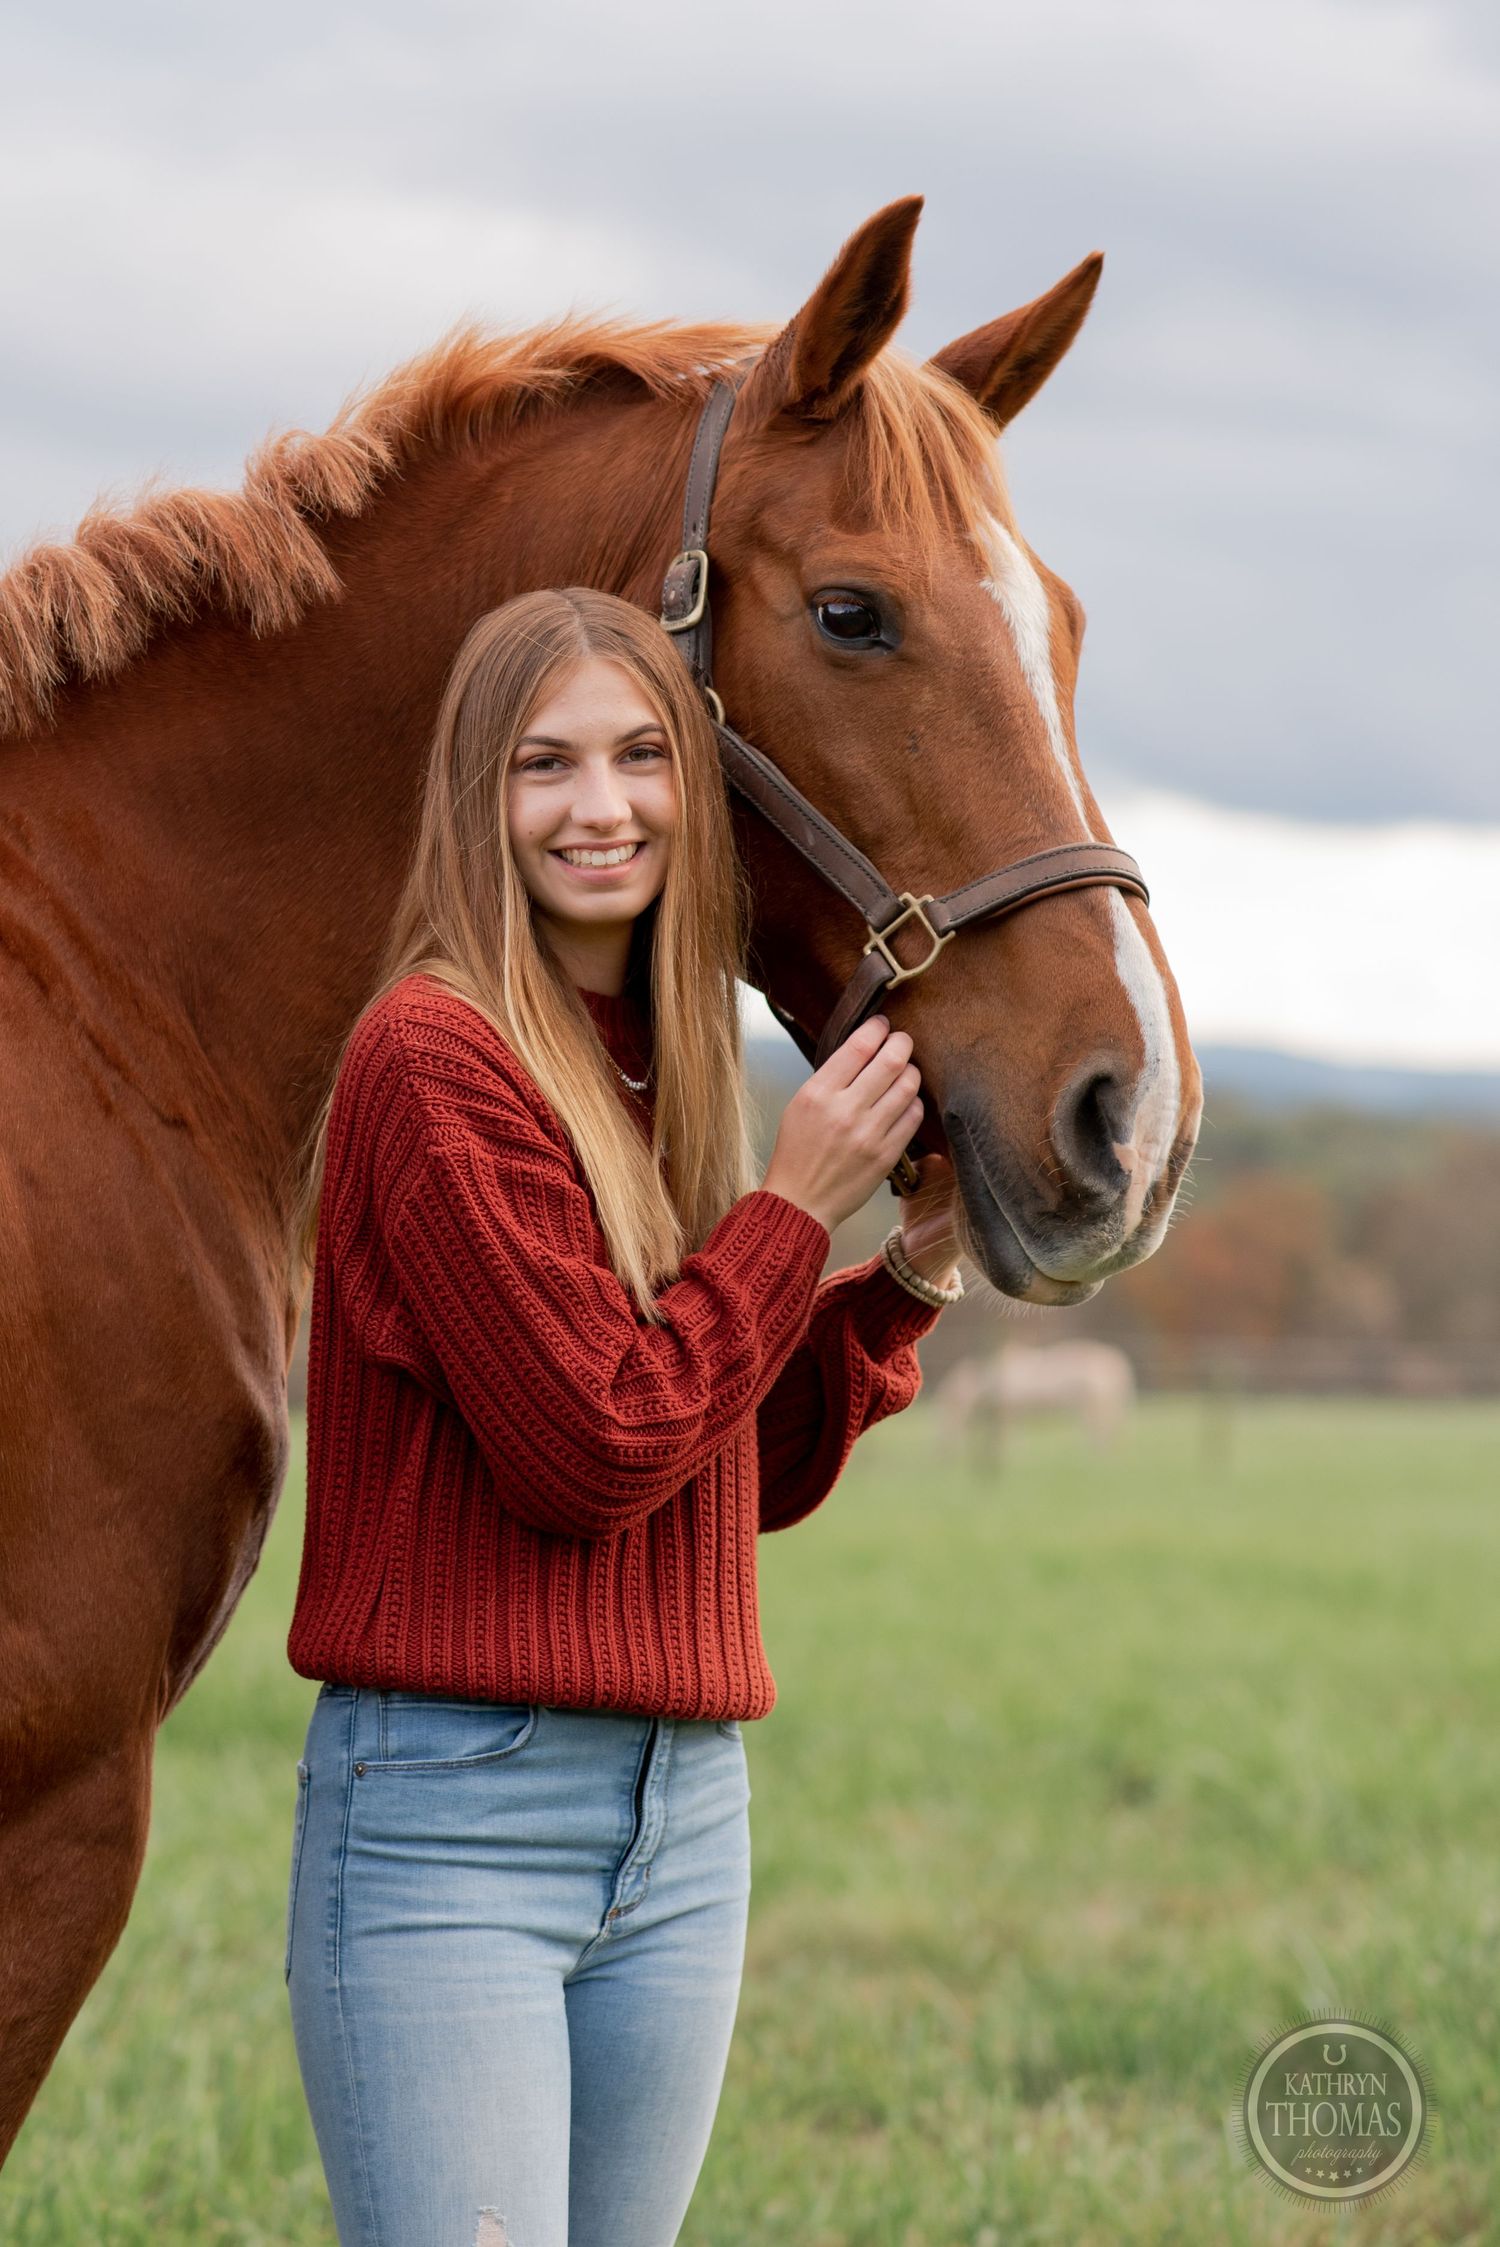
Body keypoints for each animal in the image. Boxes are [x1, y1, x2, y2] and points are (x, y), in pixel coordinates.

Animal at [933, 1340, 1138, 1467]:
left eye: (949, 1408)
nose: (943, 1455)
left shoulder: (1010, 1412)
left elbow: (1010, 1438)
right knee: (1107, 1431)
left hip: (1092, 1406)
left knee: (1100, 1432)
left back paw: (1097, 1459)